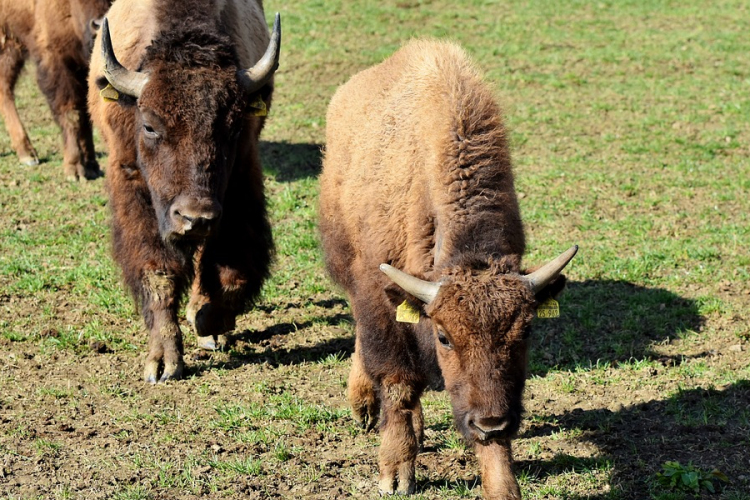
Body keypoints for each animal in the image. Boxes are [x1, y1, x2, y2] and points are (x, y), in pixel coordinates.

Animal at [86, 0, 280, 382]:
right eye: (149, 125)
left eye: (233, 127)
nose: (196, 217)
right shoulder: (134, 192)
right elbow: (157, 272)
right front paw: (163, 362)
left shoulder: (240, 184)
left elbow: (232, 272)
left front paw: (208, 322)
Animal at [320, 41, 580, 498]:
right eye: (444, 337)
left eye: (527, 331)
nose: (492, 422)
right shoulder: (378, 298)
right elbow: (398, 382)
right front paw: (395, 474)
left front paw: (502, 485)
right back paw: (366, 407)